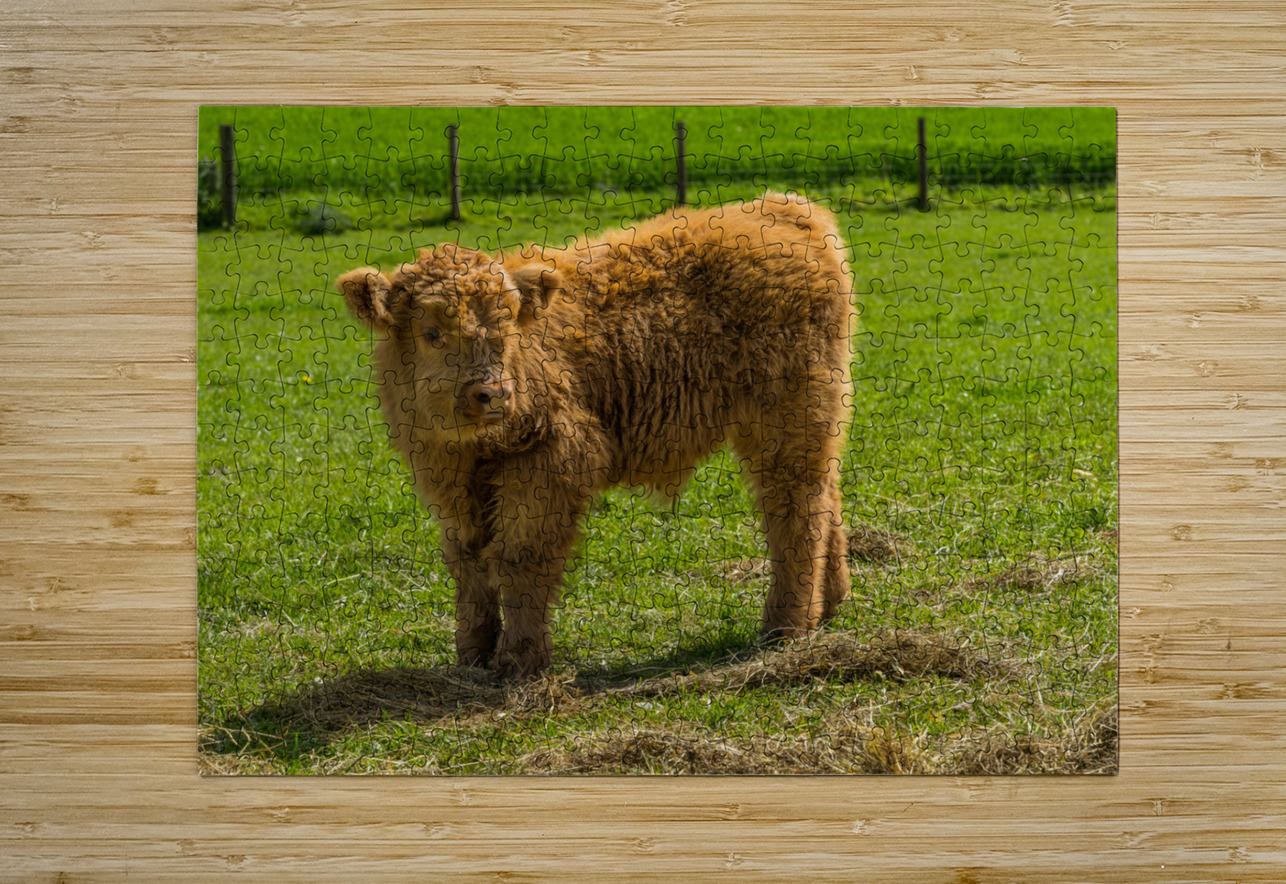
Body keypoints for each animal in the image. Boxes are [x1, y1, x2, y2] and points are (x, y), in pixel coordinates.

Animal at [338, 192, 854, 680]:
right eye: (431, 332)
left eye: (507, 328)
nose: (493, 393)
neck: (472, 449)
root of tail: (785, 209)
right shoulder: (449, 482)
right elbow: (468, 562)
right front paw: (472, 655)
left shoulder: (548, 466)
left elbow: (521, 560)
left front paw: (519, 660)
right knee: (826, 494)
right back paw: (829, 604)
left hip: (785, 422)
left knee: (794, 510)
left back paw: (784, 626)